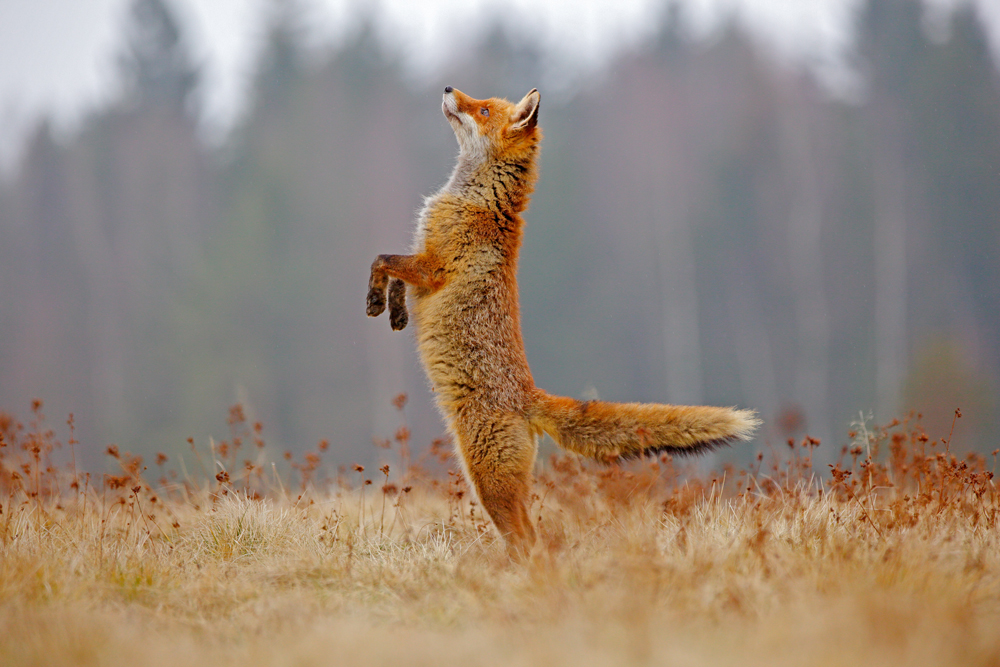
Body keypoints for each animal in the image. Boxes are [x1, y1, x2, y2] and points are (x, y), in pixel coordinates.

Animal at [368, 87, 756, 560]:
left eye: (483, 109)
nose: (446, 89)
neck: (476, 199)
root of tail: (528, 396)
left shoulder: (433, 266)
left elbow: (382, 259)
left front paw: (375, 299)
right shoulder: (422, 263)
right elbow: (395, 277)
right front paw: (395, 311)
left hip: (487, 481)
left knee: (528, 540)